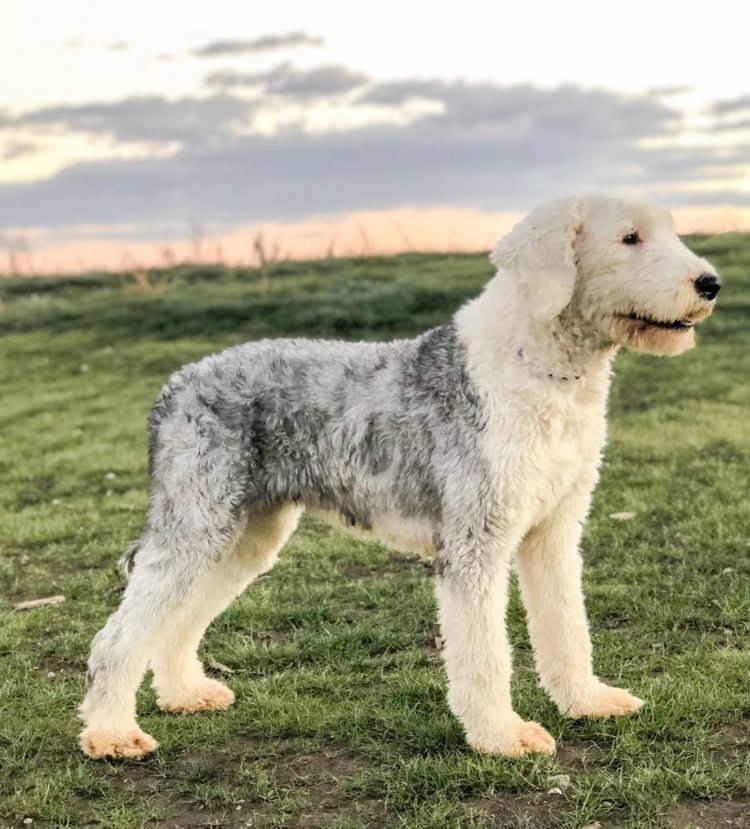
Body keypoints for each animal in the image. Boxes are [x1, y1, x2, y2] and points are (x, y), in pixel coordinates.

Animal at [78, 192, 724, 756]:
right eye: (630, 237)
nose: (710, 284)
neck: (540, 370)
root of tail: (175, 386)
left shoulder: (554, 530)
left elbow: (567, 625)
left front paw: (588, 702)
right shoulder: (475, 541)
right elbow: (484, 653)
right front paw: (502, 737)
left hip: (244, 534)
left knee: (176, 621)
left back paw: (185, 694)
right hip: (196, 521)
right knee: (120, 635)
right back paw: (111, 735)